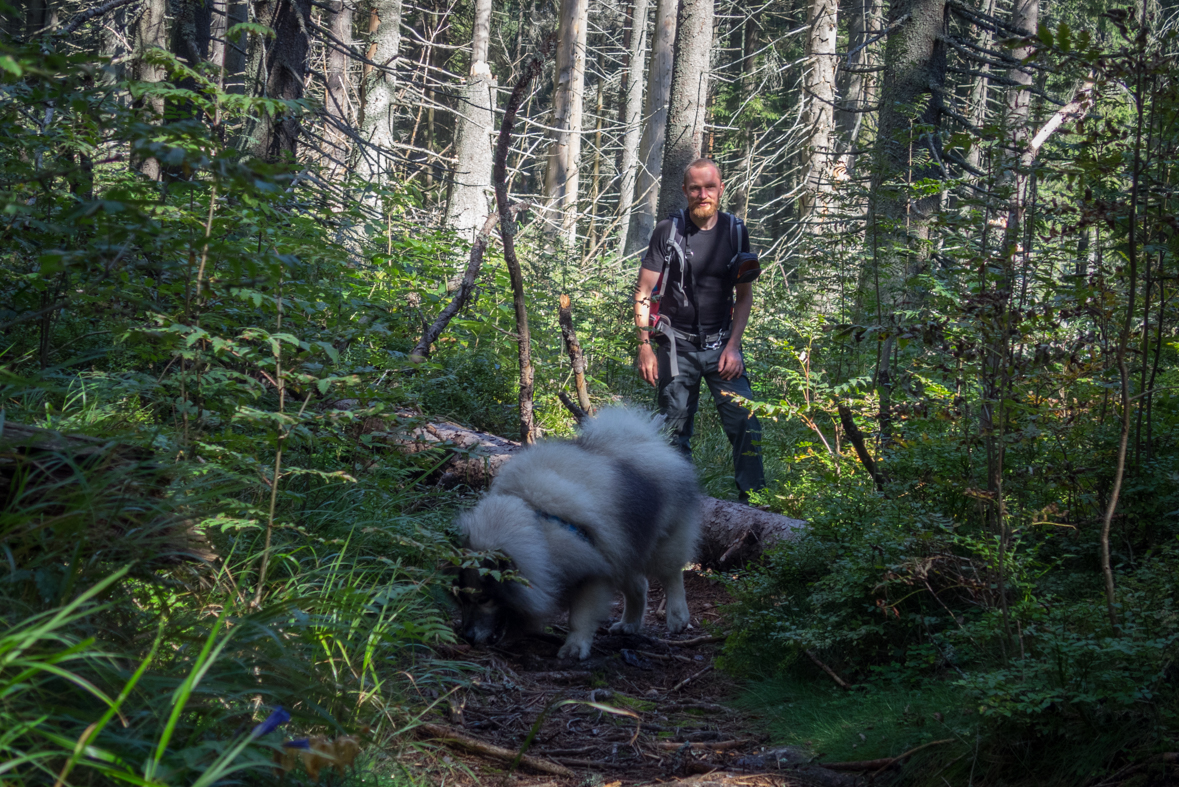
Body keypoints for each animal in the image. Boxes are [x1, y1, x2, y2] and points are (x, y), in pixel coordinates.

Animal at [455, 405, 702, 659]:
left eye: (485, 599)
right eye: (461, 598)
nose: (467, 636)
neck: (539, 527)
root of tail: (648, 440)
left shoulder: (594, 573)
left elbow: (580, 618)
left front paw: (575, 647)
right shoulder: (603, 559)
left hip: (662, 542)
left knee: (671, 576)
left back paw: (677, 617)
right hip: (624, 548)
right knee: (639, 587)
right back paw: (629, 624)